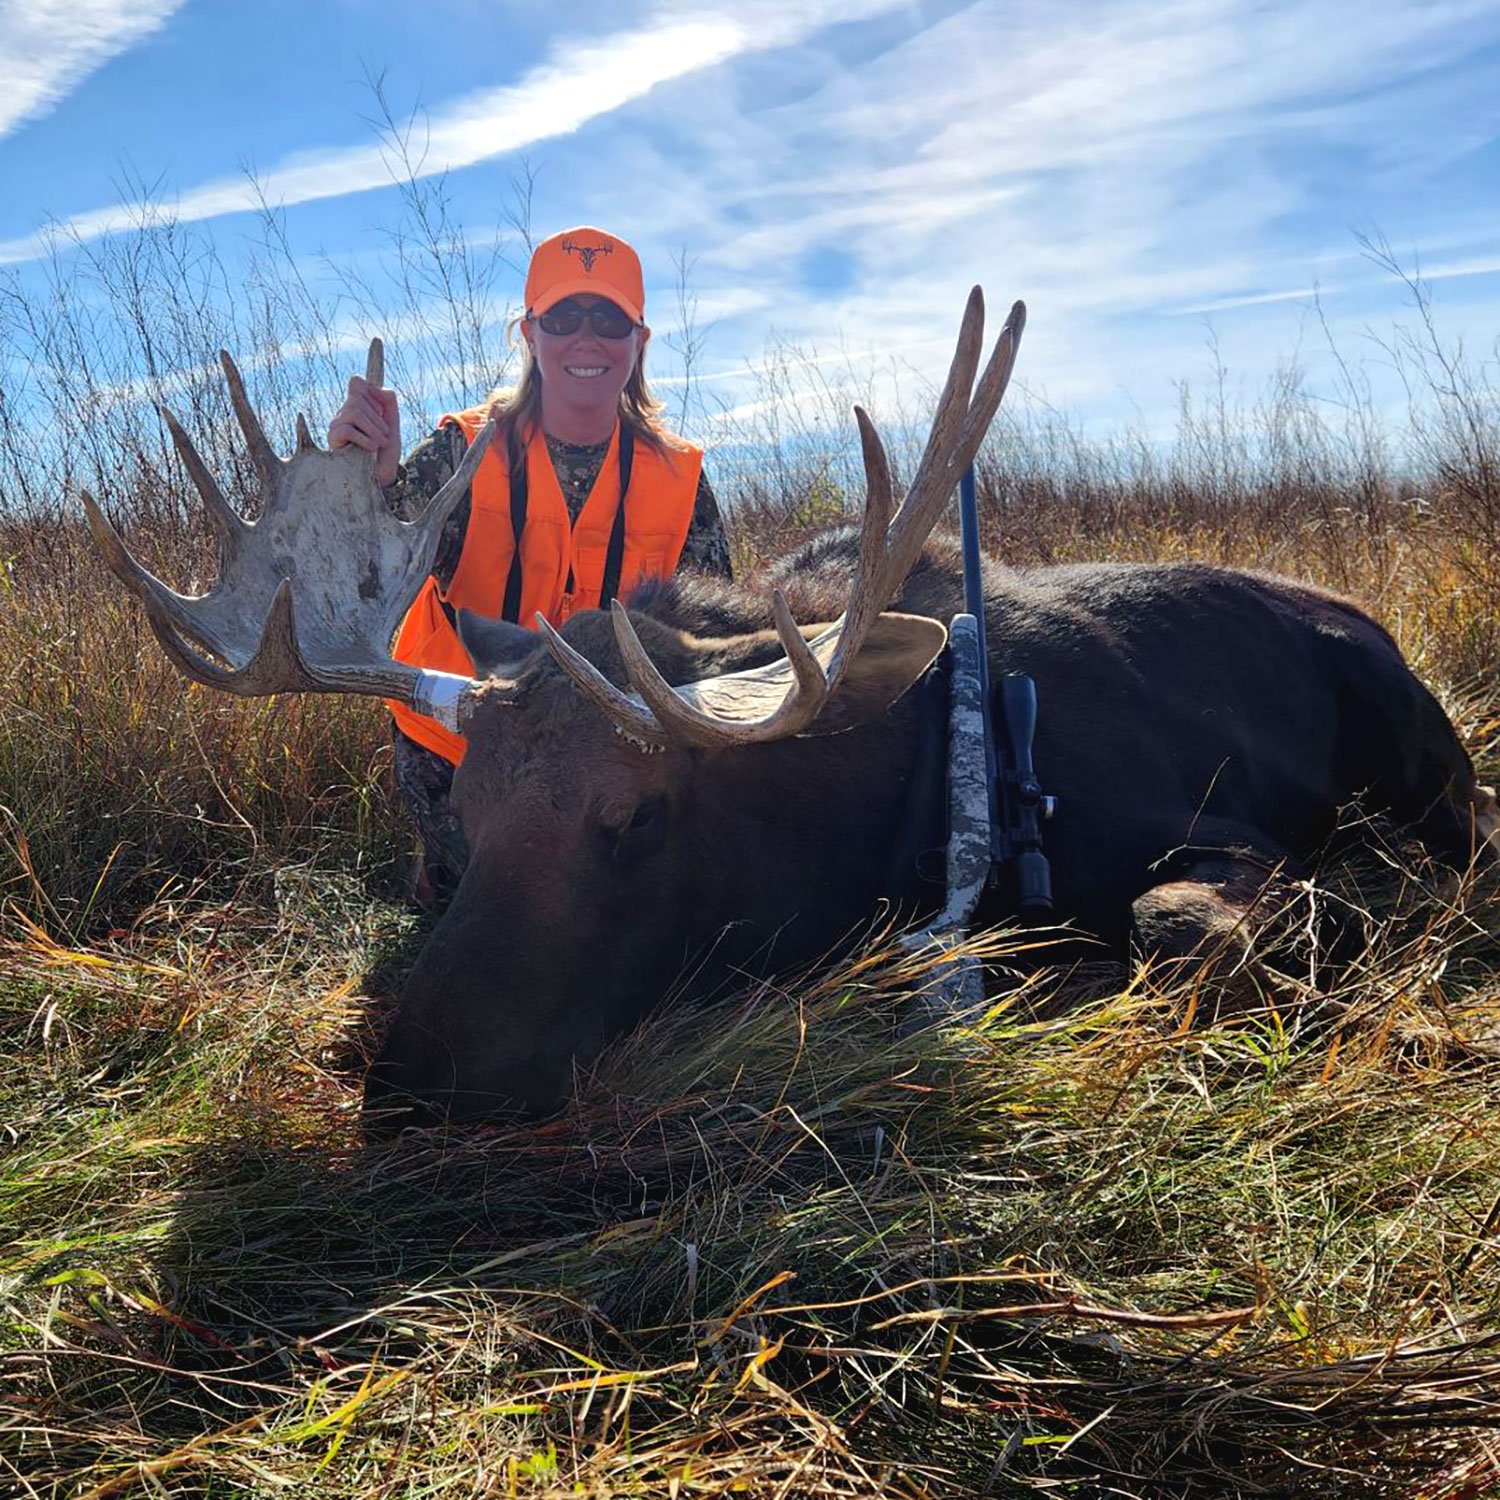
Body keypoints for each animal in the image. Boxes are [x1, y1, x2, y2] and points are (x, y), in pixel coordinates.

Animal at [87, 292, 1494, 1128]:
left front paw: (1339, 943)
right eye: (467, 818)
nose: (416, 1072)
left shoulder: (1207, 823)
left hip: (1428, 757)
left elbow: (1180, 919)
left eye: (636, 815)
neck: (879, 807)